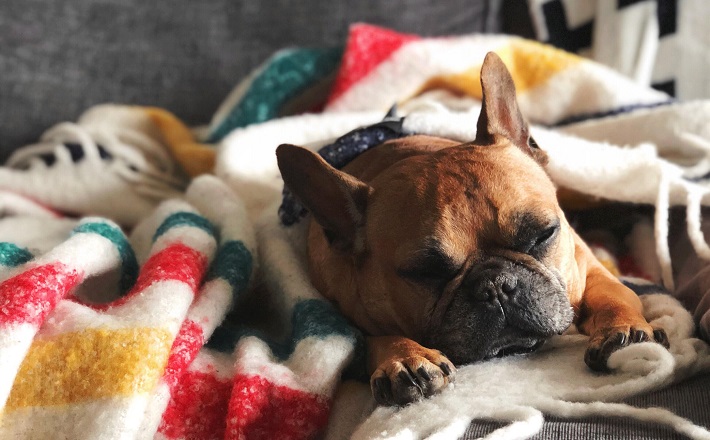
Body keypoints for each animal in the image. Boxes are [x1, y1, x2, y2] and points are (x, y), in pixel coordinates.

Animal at [276, 53, 672, 408]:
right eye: (425, 272)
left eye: (542, 235)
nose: (496, 285)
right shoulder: (342, 315)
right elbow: (370, 338)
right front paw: (403, 357)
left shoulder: (586, 267)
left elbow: (615, 296)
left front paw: (622, 329)